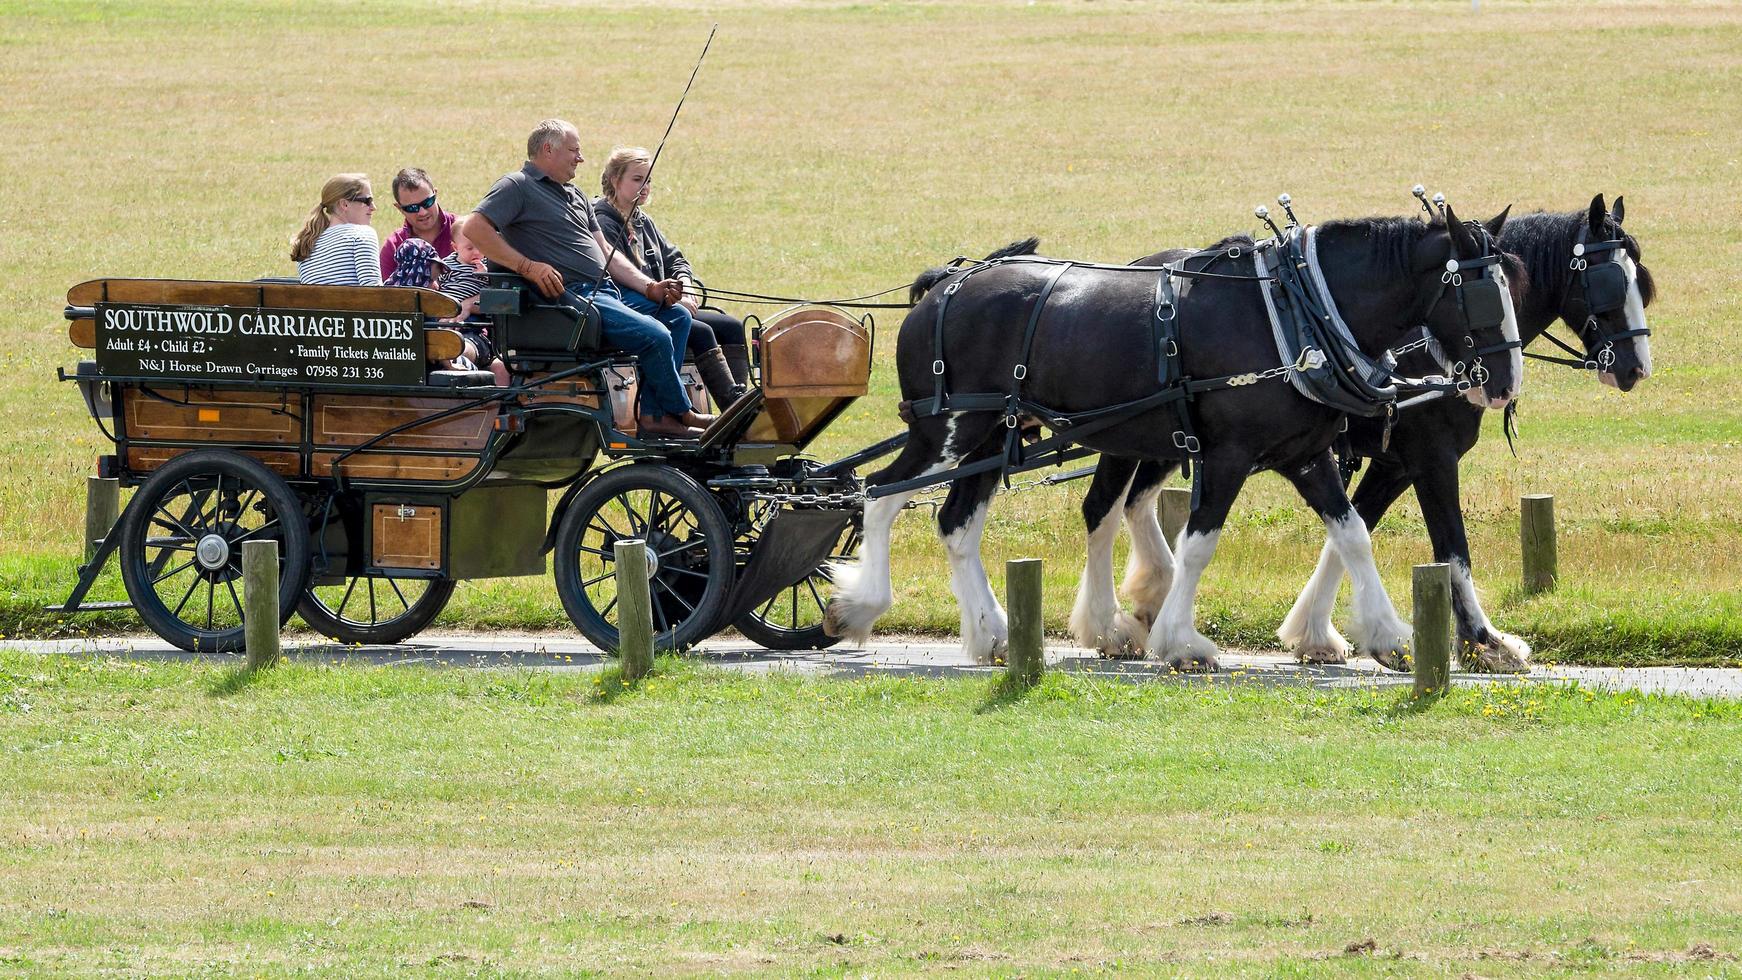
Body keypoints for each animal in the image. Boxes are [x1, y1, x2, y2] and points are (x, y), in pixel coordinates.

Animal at [829, 205, 1525, 668]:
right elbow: (1198, 544)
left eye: (1513, 284)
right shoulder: (1229, 455)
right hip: (945, 432)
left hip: (984, 441)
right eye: (1479, 293)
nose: (1504, 383)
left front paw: (1386, 634)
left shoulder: (1304, 456)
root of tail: (944, 283)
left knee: (956, 523)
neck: (1297, 312)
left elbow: (1352, 534)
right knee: (880, 495)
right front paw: (1181, 640)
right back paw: (862, 606)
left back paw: (991, 632)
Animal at [1073, 197, 1658, 675]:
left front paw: (1319, 631)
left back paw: (1147, 597)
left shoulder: (1390, 463)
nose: (1636, 368)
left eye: (1642, 285)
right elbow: (1451, 547)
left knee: (1130, 503)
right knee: (1105, 507)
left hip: (1167, 440)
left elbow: (1351, 533)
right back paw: (1117, 620)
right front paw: (1482, 640)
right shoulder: (1431, 457)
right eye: (1610, 282)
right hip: (1135, 438)